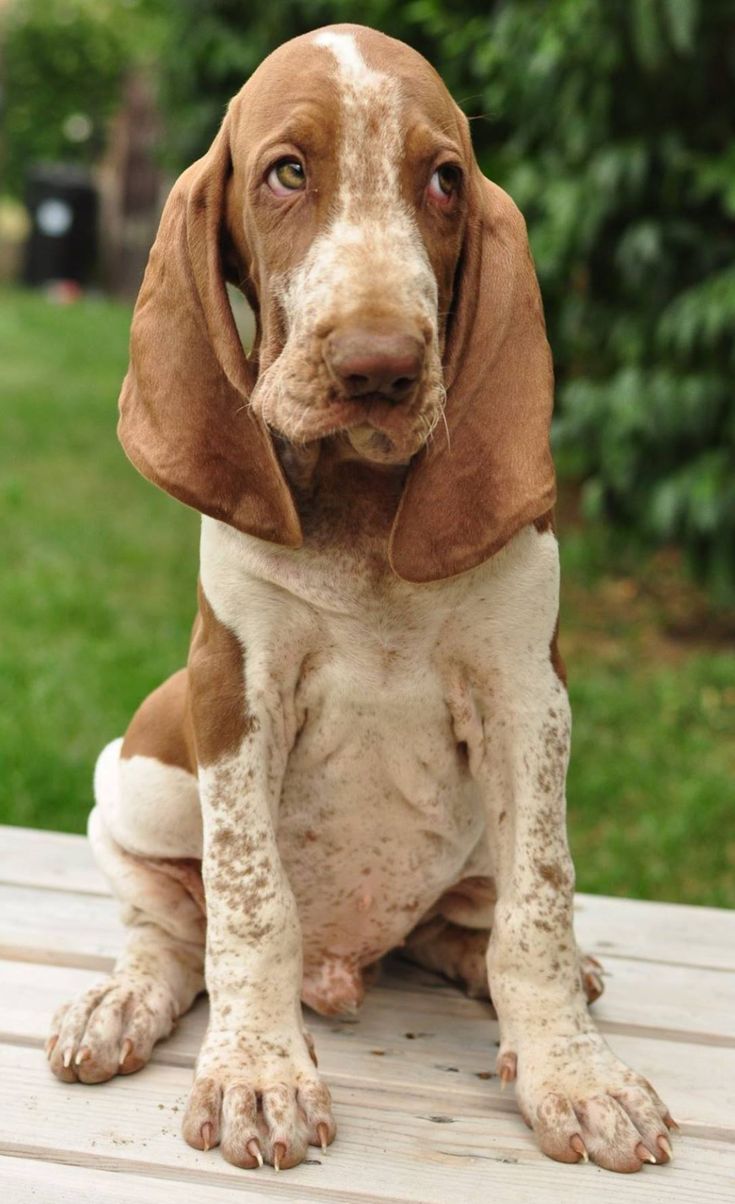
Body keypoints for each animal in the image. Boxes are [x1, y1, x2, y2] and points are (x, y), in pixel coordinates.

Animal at [45, 23, 674, 1175]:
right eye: (288, 173)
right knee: (170, 930)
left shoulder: (529, 697)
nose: (379, 368)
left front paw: (575, 1072)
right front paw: (256, 1073)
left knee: (465, 921)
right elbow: (250, 908)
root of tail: (350, 967)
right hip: (138, 776)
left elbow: (538, 912)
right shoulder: (233, 692)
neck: (362, 503)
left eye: (444, 180)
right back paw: (120, 1002)